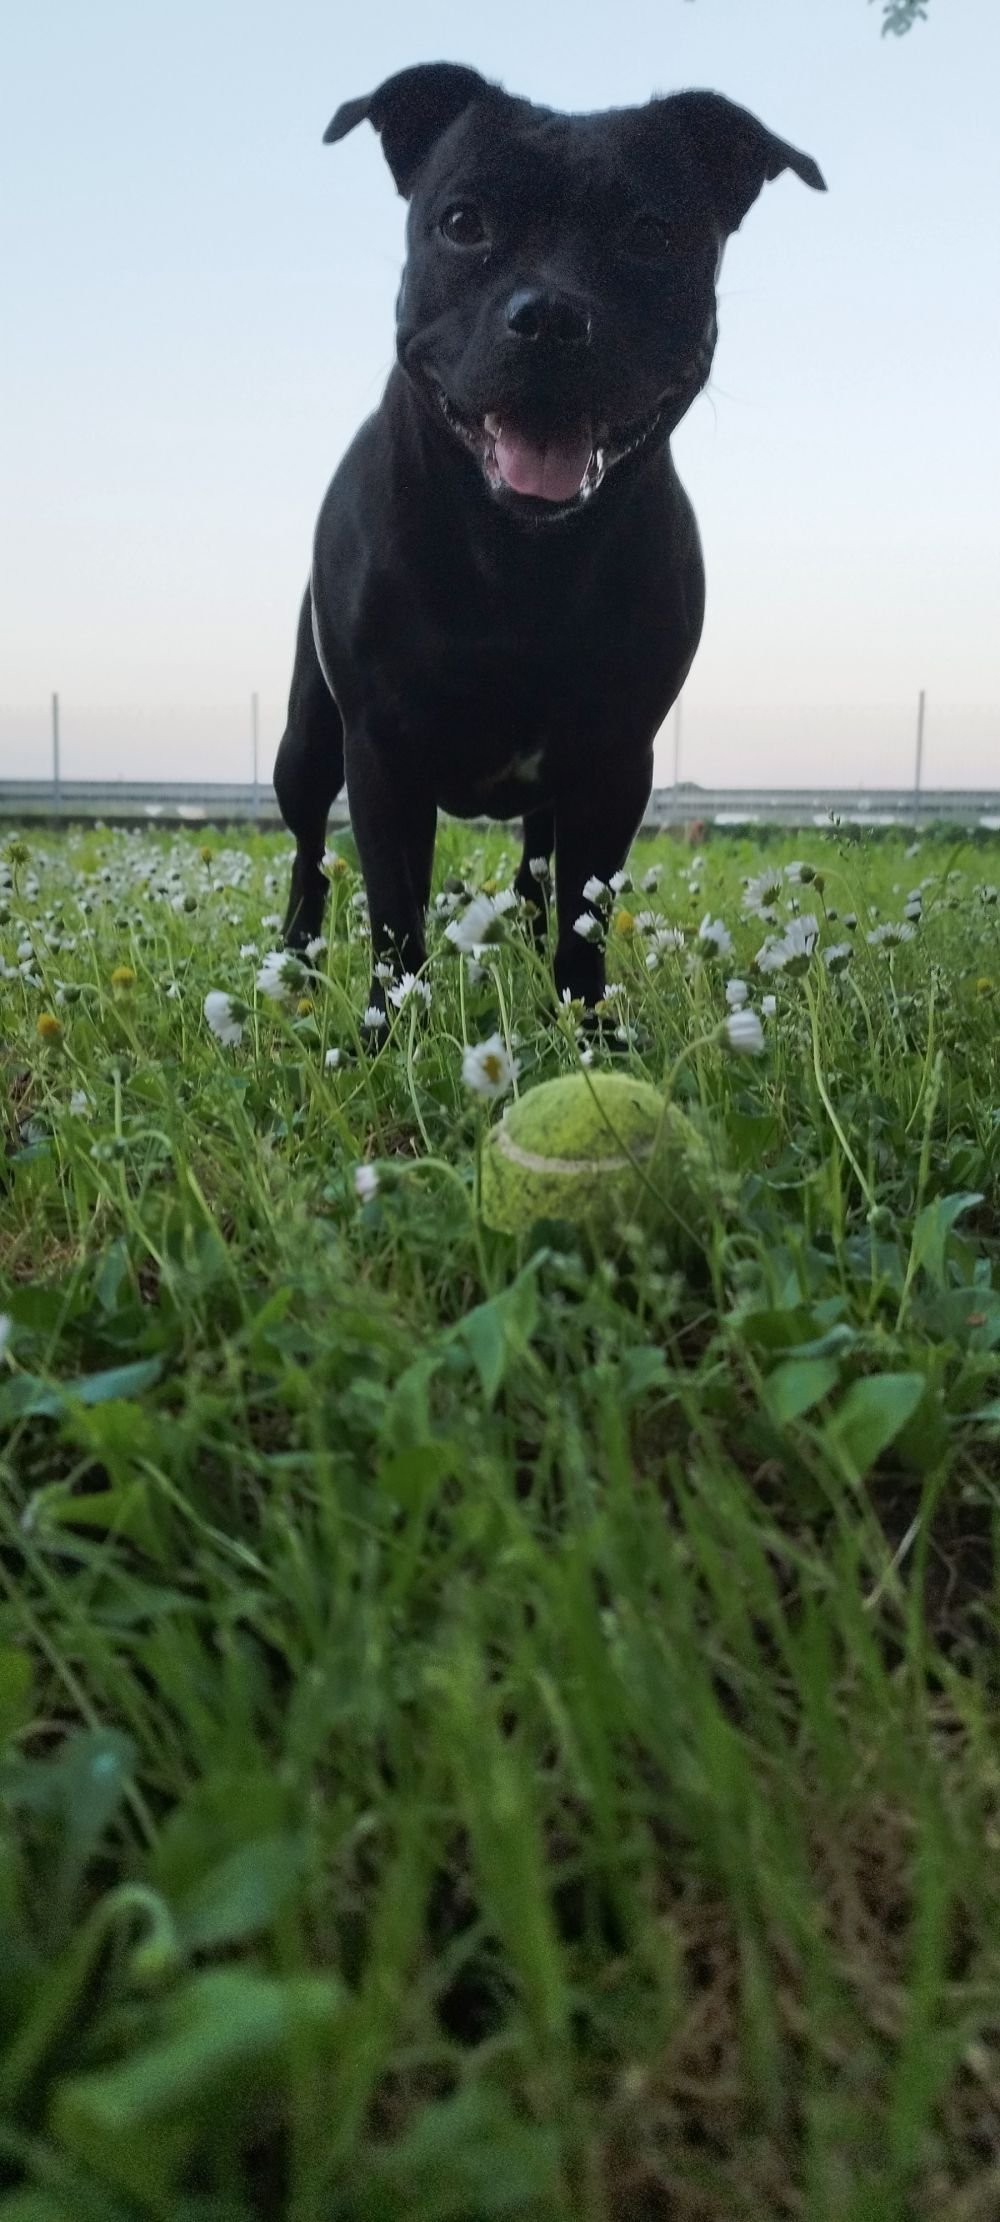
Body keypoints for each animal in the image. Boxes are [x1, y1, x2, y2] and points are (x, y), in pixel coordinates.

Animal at [274, 63, 824, 1012]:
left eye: (651, 233)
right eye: (464, 223)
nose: (552, 317)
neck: (519, 558)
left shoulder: (616, 758)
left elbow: (585, 912)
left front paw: (588, 1023)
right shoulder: (379, 748)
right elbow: (393, 916)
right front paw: (392, 1028)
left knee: (537, 870)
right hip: (305, 745)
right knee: (311, 854)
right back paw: (296, 960)